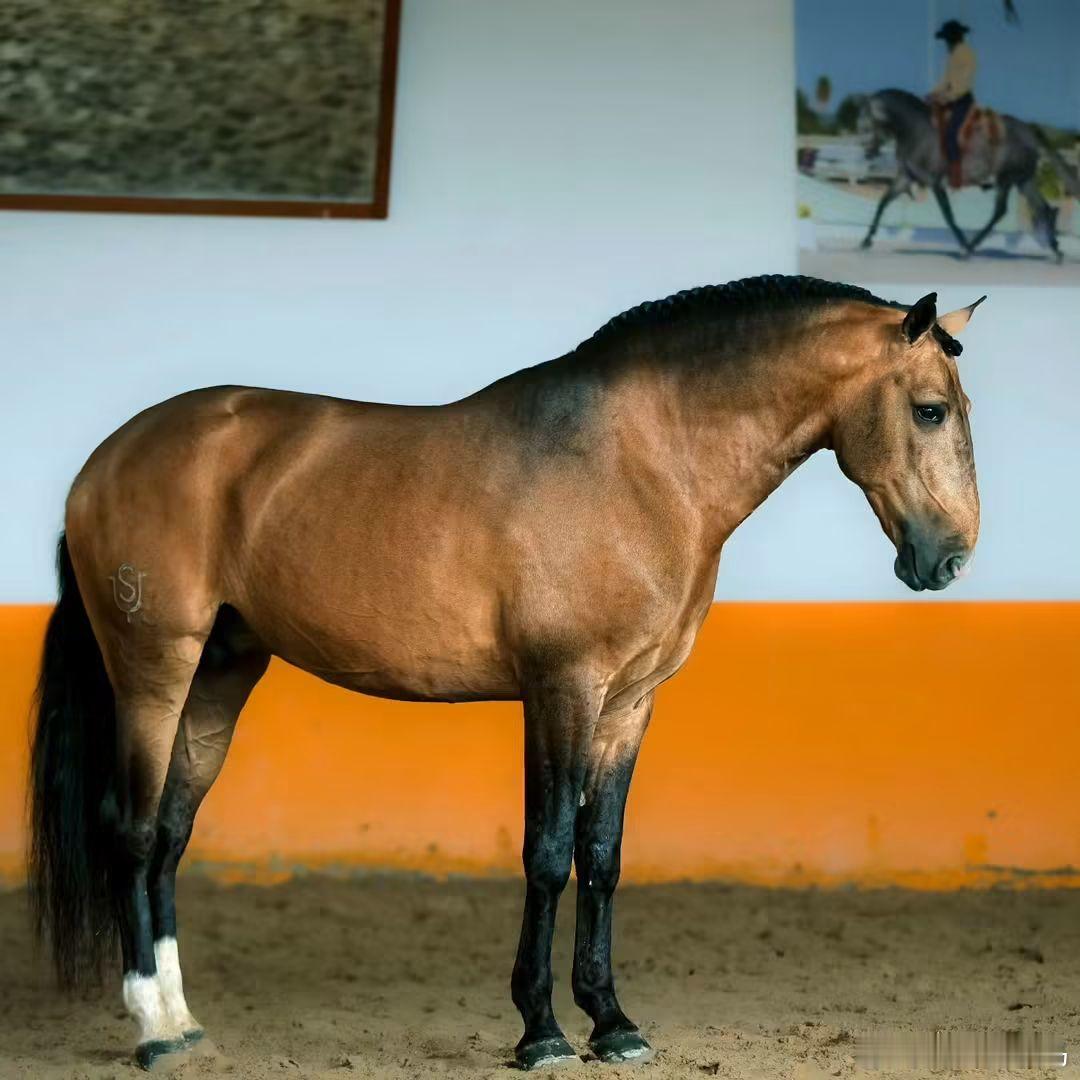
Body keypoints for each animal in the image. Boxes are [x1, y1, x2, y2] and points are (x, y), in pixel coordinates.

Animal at [30, 275, 984, 1071]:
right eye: (932, 410)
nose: (951, 557)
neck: (645, 466)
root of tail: (105, 462)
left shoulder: (628, 704)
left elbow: (602, 854)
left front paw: (613, 1023)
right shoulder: (563, 689)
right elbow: (549, 852)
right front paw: (543, 1031)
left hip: (220, 677)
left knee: (171, 835)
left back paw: (184, 1021)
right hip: (154, 669)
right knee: (132, 830)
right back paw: (152, 1029)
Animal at [856, 88, 1080, 259]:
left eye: (866, 124)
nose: (867, 152)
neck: (916, 130)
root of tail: (1028, 130)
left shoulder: (935, 181)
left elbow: (948, 215)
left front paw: (963, 244)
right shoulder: (906, 178)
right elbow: (883, 202)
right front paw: (866, 240)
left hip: (1006, 179)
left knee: (1000, 211)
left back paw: (970, 247)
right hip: (1023, 180)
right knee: (1042, 208)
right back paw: (1055, 250)